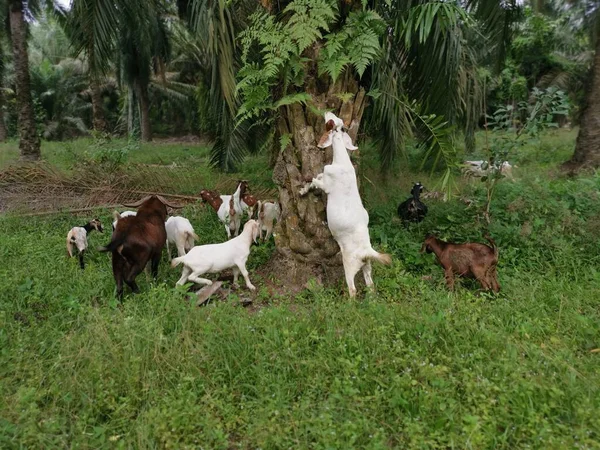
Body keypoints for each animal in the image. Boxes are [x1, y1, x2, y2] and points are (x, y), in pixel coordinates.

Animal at [298, 111, 392, 298]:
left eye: (331, 121)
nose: (326, 111)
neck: (341, 162)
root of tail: (366, 251)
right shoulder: (324, 177)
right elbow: (314, 179)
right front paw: (303, 190)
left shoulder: (327, 184)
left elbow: (315, 180)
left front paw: (303, 189)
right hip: (367, 266)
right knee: (371, 286)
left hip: (349, 264)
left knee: (353, 290)